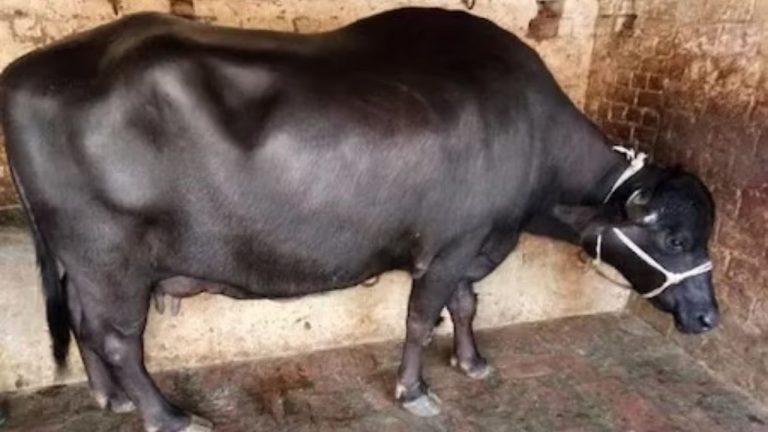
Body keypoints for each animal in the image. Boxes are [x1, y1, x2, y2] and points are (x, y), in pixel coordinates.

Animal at [0, 7, 719, 432]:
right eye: (675, 236)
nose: (710, 317)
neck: (531, 135)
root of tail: (24, 74)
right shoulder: (449, 247)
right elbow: (422, 316)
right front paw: (414, 390)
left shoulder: (474, 245)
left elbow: (466, 306)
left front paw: (472, 361)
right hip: (110, 259)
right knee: (119, 337)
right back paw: (166, 415)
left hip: (80, 261)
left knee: (82, 322)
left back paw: (111, 397)